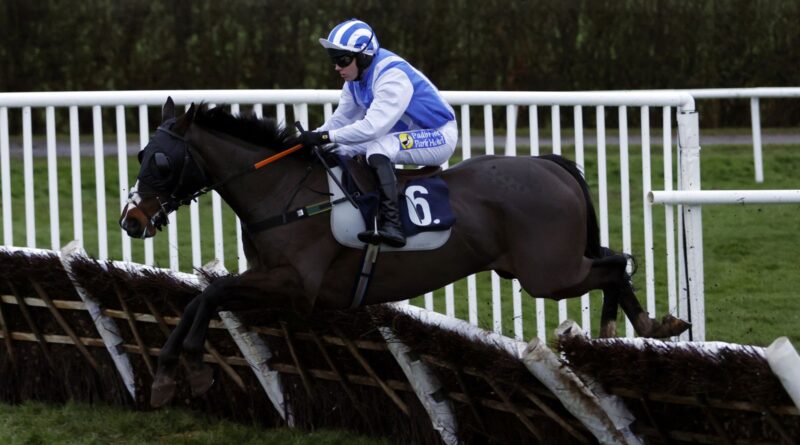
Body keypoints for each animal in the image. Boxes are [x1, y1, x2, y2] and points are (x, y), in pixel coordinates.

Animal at [122, 97, 692, 406]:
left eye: (163, 162)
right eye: (141, 153)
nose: (132, 220)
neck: (284, 193)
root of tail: (549, 164)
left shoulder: (295, 286)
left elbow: (211, 294)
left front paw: (189, 370)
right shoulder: (267, 278)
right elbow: (201, 299)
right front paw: (171, 375)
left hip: (548, 273)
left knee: (615, 263)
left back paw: (638, 325)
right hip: (546, 268)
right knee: (612, 260)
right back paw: (631, 328)